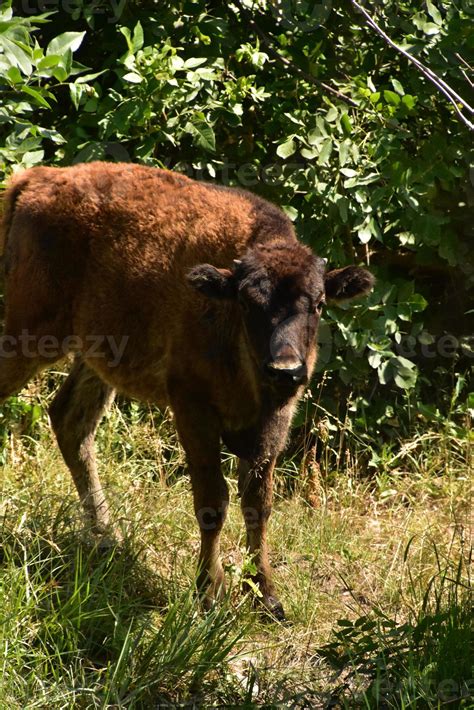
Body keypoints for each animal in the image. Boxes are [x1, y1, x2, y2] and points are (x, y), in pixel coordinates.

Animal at [0, 164, 374, 620]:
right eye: (247, 302)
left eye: (318, 303)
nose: (285, 370)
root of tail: (35, 179)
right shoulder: (192, 407)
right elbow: (213, 500)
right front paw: (209, 593)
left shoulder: (274, 422)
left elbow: (258, 502)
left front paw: (266, 596)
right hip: (31, 335)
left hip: (95, 354)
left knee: (71, 421)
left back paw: (107, 540)